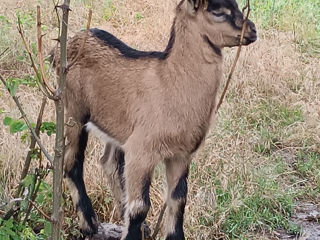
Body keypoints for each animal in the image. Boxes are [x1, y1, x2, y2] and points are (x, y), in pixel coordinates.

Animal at [53, 0, 258, 240]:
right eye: (217, 11)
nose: (252, 30)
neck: (170, 83)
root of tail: (64, 45)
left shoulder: (181, 155)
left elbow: (178, 201)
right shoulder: (142, 151)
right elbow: (140, 206)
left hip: (118, 127)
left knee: (109, 163)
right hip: (73, 111)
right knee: (71, 162)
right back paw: (89, 224)